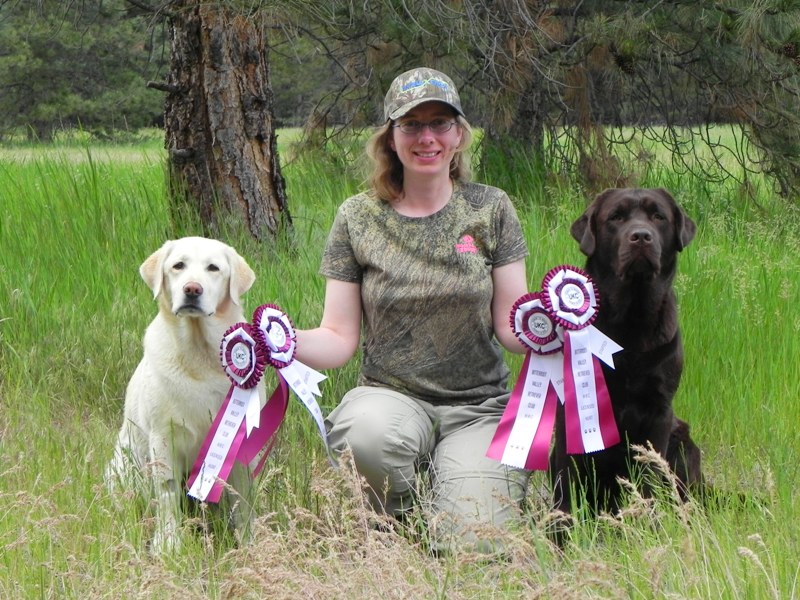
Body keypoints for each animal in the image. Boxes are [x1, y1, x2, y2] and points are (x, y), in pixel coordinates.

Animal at [105, 236, 262, 553]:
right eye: (178, 265)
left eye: (213, 268)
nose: (192, 289)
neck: (199, 355)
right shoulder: (164, 436)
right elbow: (167, 494)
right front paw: (169, 543)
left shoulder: (239, 443)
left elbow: (242, 496)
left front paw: (249, 539)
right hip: (124, 466)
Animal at [550, 188, 702, 534]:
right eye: (616, 217)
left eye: (658, 216)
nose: (641, 236)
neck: (631, 321)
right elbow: (567, 476)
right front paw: (561, 533)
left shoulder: (659, 411)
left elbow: (648, 476)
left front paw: (645, 525)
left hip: (684, 443)